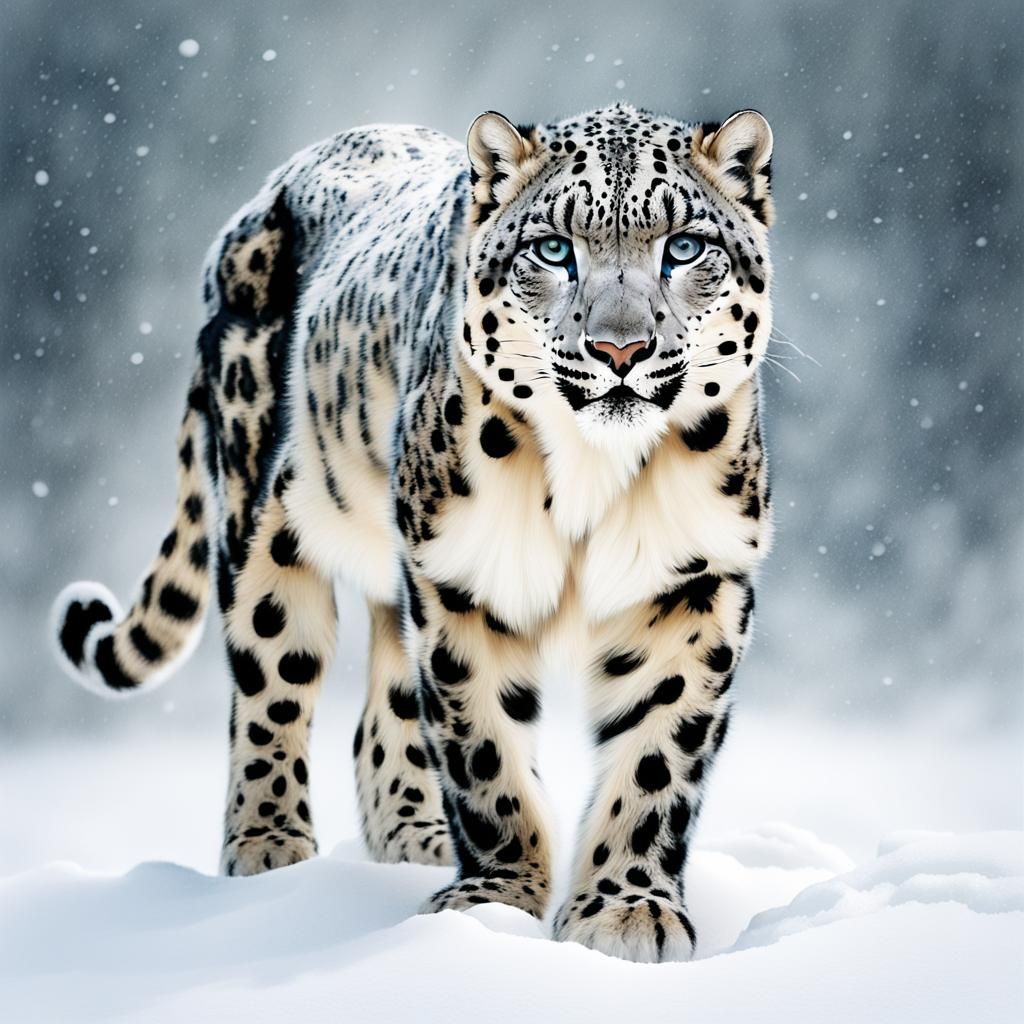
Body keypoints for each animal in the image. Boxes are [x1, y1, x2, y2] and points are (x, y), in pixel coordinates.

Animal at [52, 102, 776, 963]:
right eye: (554, 249)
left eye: (684, 247)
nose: (620, 348)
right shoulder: (462, 577)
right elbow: (485, 749)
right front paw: (495, 904)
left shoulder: (692, 581)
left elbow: (656, 755)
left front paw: (623, 911)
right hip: (268, 516)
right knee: (271, 681)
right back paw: (269, 849)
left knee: (383, 710)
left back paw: (411, 835)